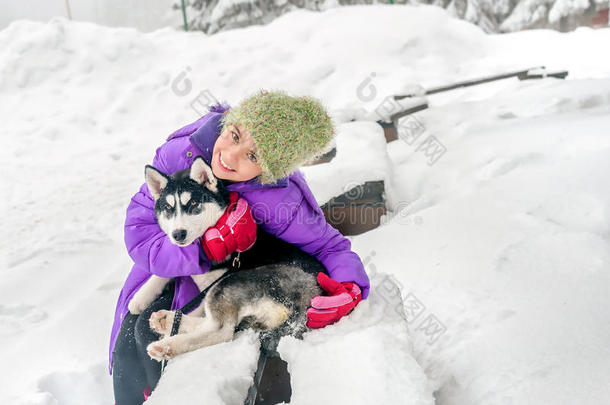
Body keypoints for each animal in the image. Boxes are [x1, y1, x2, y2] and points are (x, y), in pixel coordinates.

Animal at [129, 157, 324, 360]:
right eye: (168, 208)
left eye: (193, 203)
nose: (178, 234)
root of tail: (308, 301)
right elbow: (168, 267)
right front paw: (140, 297)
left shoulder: (214, 283)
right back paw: (167, 320)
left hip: (229, 283)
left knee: (219, 330)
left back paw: (167, 344)